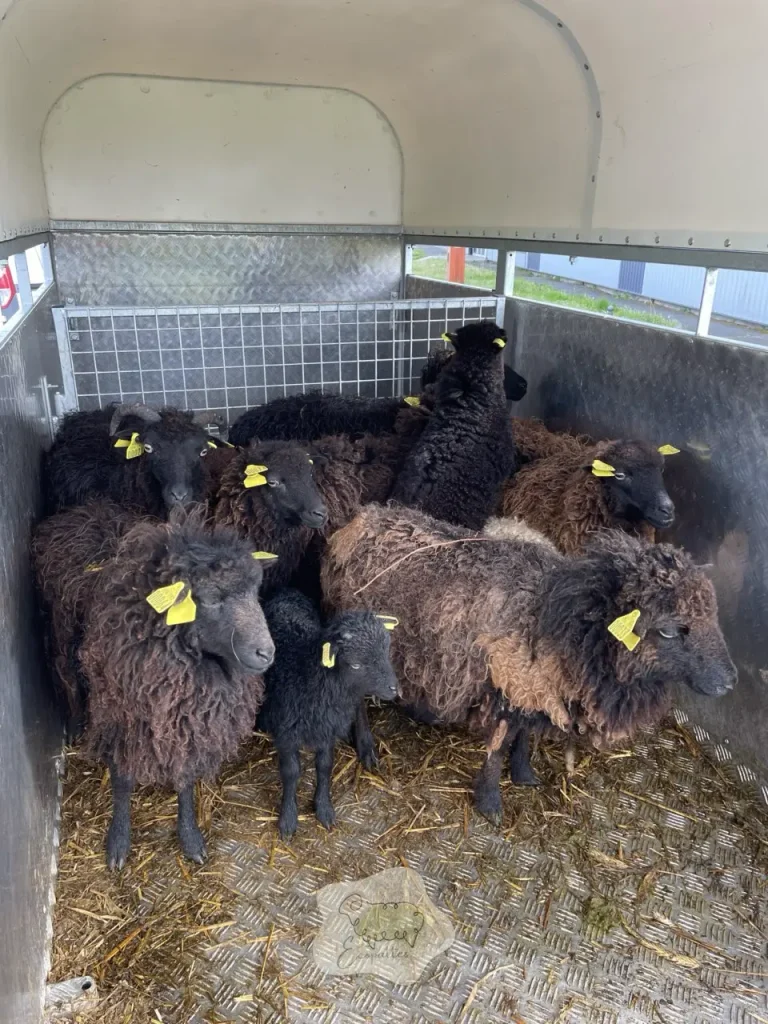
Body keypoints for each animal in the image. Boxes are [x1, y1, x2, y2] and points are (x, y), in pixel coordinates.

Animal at [66, 505, 275, 868]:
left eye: (255, 592)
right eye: (210, 599)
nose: (267, 652)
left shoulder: (189, 726)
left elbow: (185, 780)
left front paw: (190, 837)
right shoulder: (120, 720)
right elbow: (121, 780)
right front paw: (118, 841)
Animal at [258, 588, 398, 839]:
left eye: (386, 651)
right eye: (355, 665)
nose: (394, 689)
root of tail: (288, 591)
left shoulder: (327, 728)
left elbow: (325, 766)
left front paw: (323, 808)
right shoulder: (287, 732)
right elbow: (291, 772)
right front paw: (288, 818)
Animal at [321, 503, 736, 824]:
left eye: (713, 614)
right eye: (669, 631)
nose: (729, 681)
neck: (564, 623)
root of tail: (360, 521)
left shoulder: (534, 687)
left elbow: (525, 734)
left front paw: (523, 772)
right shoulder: (509, 680)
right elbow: (500, 743)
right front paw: (490, 802)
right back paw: (367, 748)